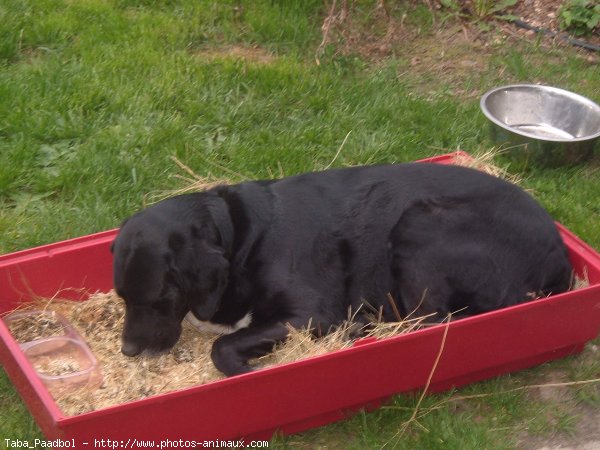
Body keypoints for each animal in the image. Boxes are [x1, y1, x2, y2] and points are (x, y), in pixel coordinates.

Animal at [112, 163, 572, 374]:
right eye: (121, 297)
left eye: (161, 297)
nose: (127, 350)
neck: (239, 235)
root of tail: (560, 255)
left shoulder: (311, 312)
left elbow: (223, 346)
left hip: (421, 223)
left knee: (433, 321)